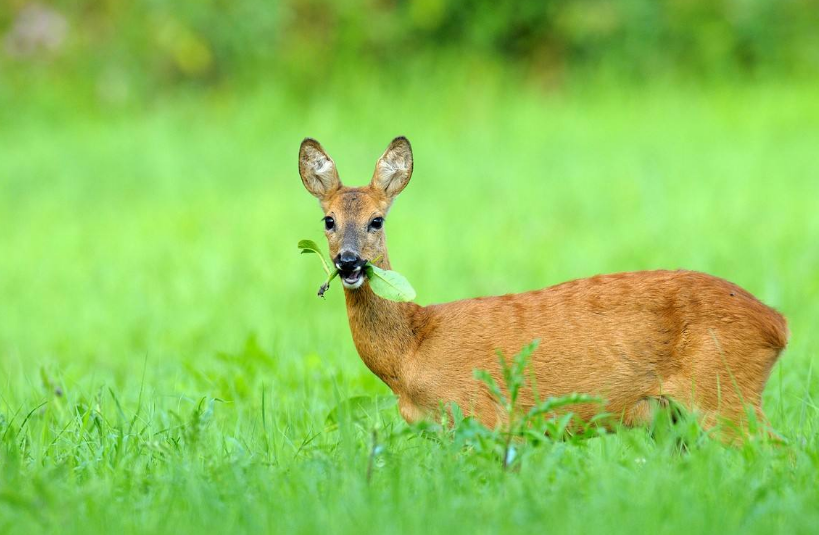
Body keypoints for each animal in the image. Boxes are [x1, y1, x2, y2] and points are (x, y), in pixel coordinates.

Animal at [300, 136, 788, 438]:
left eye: (376, 221)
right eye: (329, 220)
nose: (348, 262)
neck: (411, 353)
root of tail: (777, 324)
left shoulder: (485, 416)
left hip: (723, 392)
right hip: (677, 419)